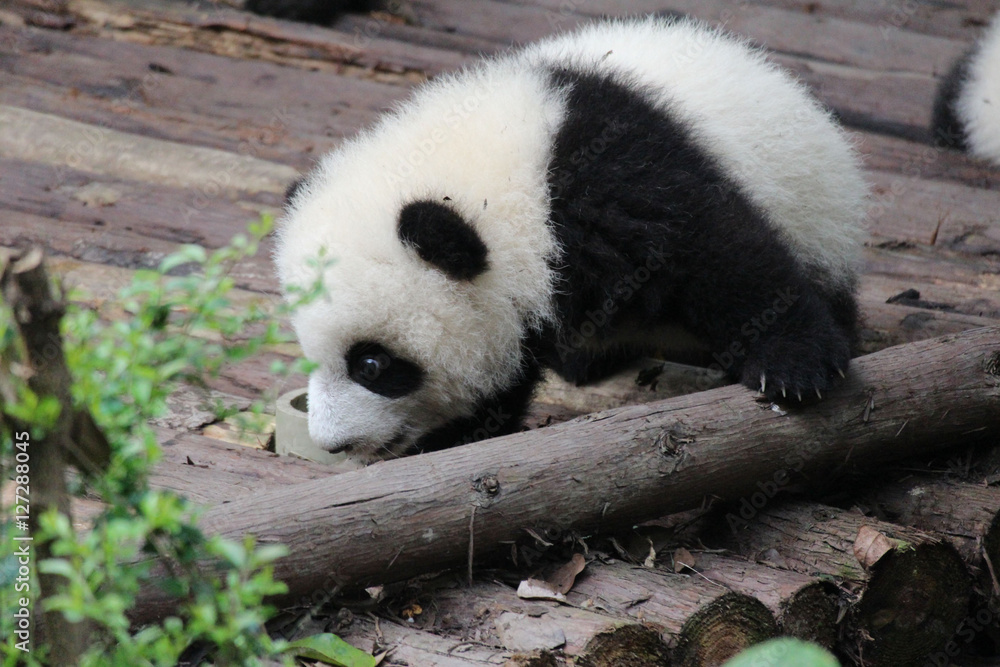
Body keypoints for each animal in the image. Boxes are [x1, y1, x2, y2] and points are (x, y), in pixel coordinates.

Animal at [275, 17, 868, 464]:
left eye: (371, 365)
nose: (333, 442)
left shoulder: (611, 174)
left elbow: (717, 250)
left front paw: (793, 366)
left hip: (820, 213)